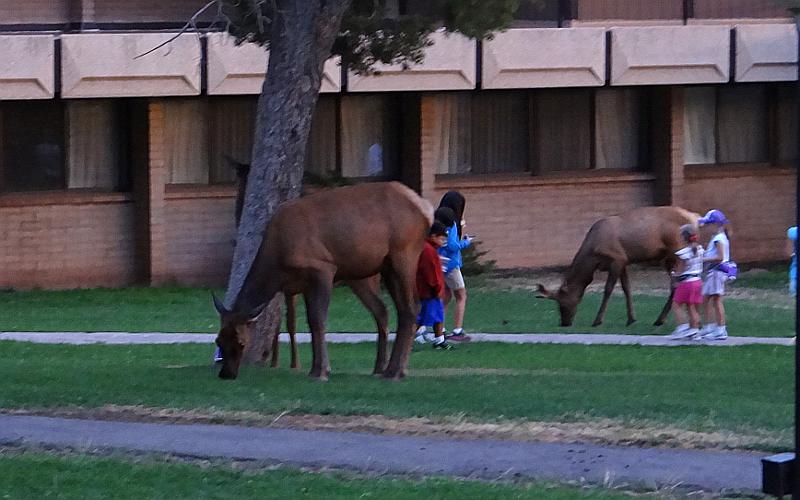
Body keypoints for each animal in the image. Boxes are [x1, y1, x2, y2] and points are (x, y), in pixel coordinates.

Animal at [212, 182, 432, 380]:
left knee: (411, 307)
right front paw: (314, 368)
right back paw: (386, 368)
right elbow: (310, 322)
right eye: (218, 340)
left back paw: (396, 371)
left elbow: (319, 319)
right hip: (381, 269)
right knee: (390, 309)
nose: (226, 374)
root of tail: (426, 209)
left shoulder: (323, 268)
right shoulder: (304, 284)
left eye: (241, 342)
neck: (277, 260)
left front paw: (322, 371)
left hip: (403, 254)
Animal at [227, 158, 390, 374]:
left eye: (244, 189)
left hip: (366, 277)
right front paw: (277, 361)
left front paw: (295, 363)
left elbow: (291, 322)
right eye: (238, 185)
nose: (238, 216)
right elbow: (281, 322)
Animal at [536, 206, 700, 328]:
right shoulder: (624, 261)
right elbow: (626, 288)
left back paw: (662, 319)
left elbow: (608, 289)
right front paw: (631, 319)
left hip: (676, 251)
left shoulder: (617, 258)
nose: (564, 323)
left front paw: (597, 321)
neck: (592, 256)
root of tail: (694, 217)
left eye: (561, 303)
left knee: (677, 283)